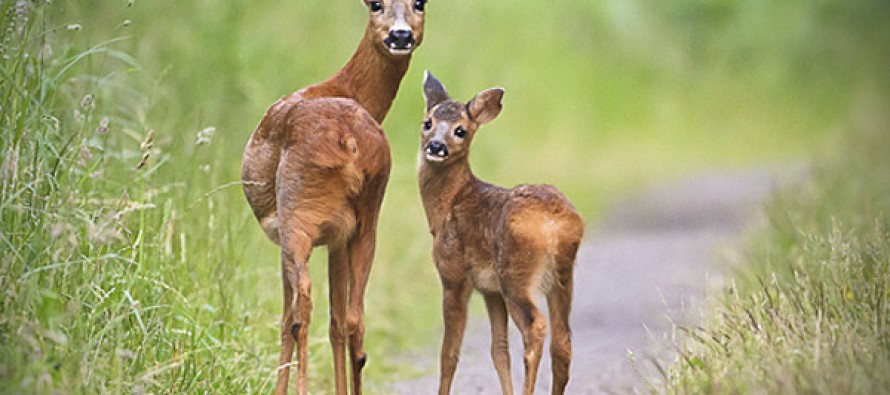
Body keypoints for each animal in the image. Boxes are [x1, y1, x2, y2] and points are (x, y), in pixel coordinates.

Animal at [239, 1, 426, 394]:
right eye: (375, 4)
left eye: (420, 3)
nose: (400, 35)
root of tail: (350, 141)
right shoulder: (339, 236)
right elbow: (338, 320)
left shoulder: (291, 235)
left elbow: (287, 318)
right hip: (369, 217)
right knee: (355, 316)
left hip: (298, 214)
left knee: (302, 309)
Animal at [416, 73, 584, 395]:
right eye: (427, 122)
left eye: (460, 130)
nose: (436, 146)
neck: (448, 203)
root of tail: (556, 222)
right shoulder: (489, 290)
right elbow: (499, 350)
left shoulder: (454, 276)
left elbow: (449, 353)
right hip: (562, 277)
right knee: (563, 341)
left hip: (515, 274)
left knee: (536, 326)